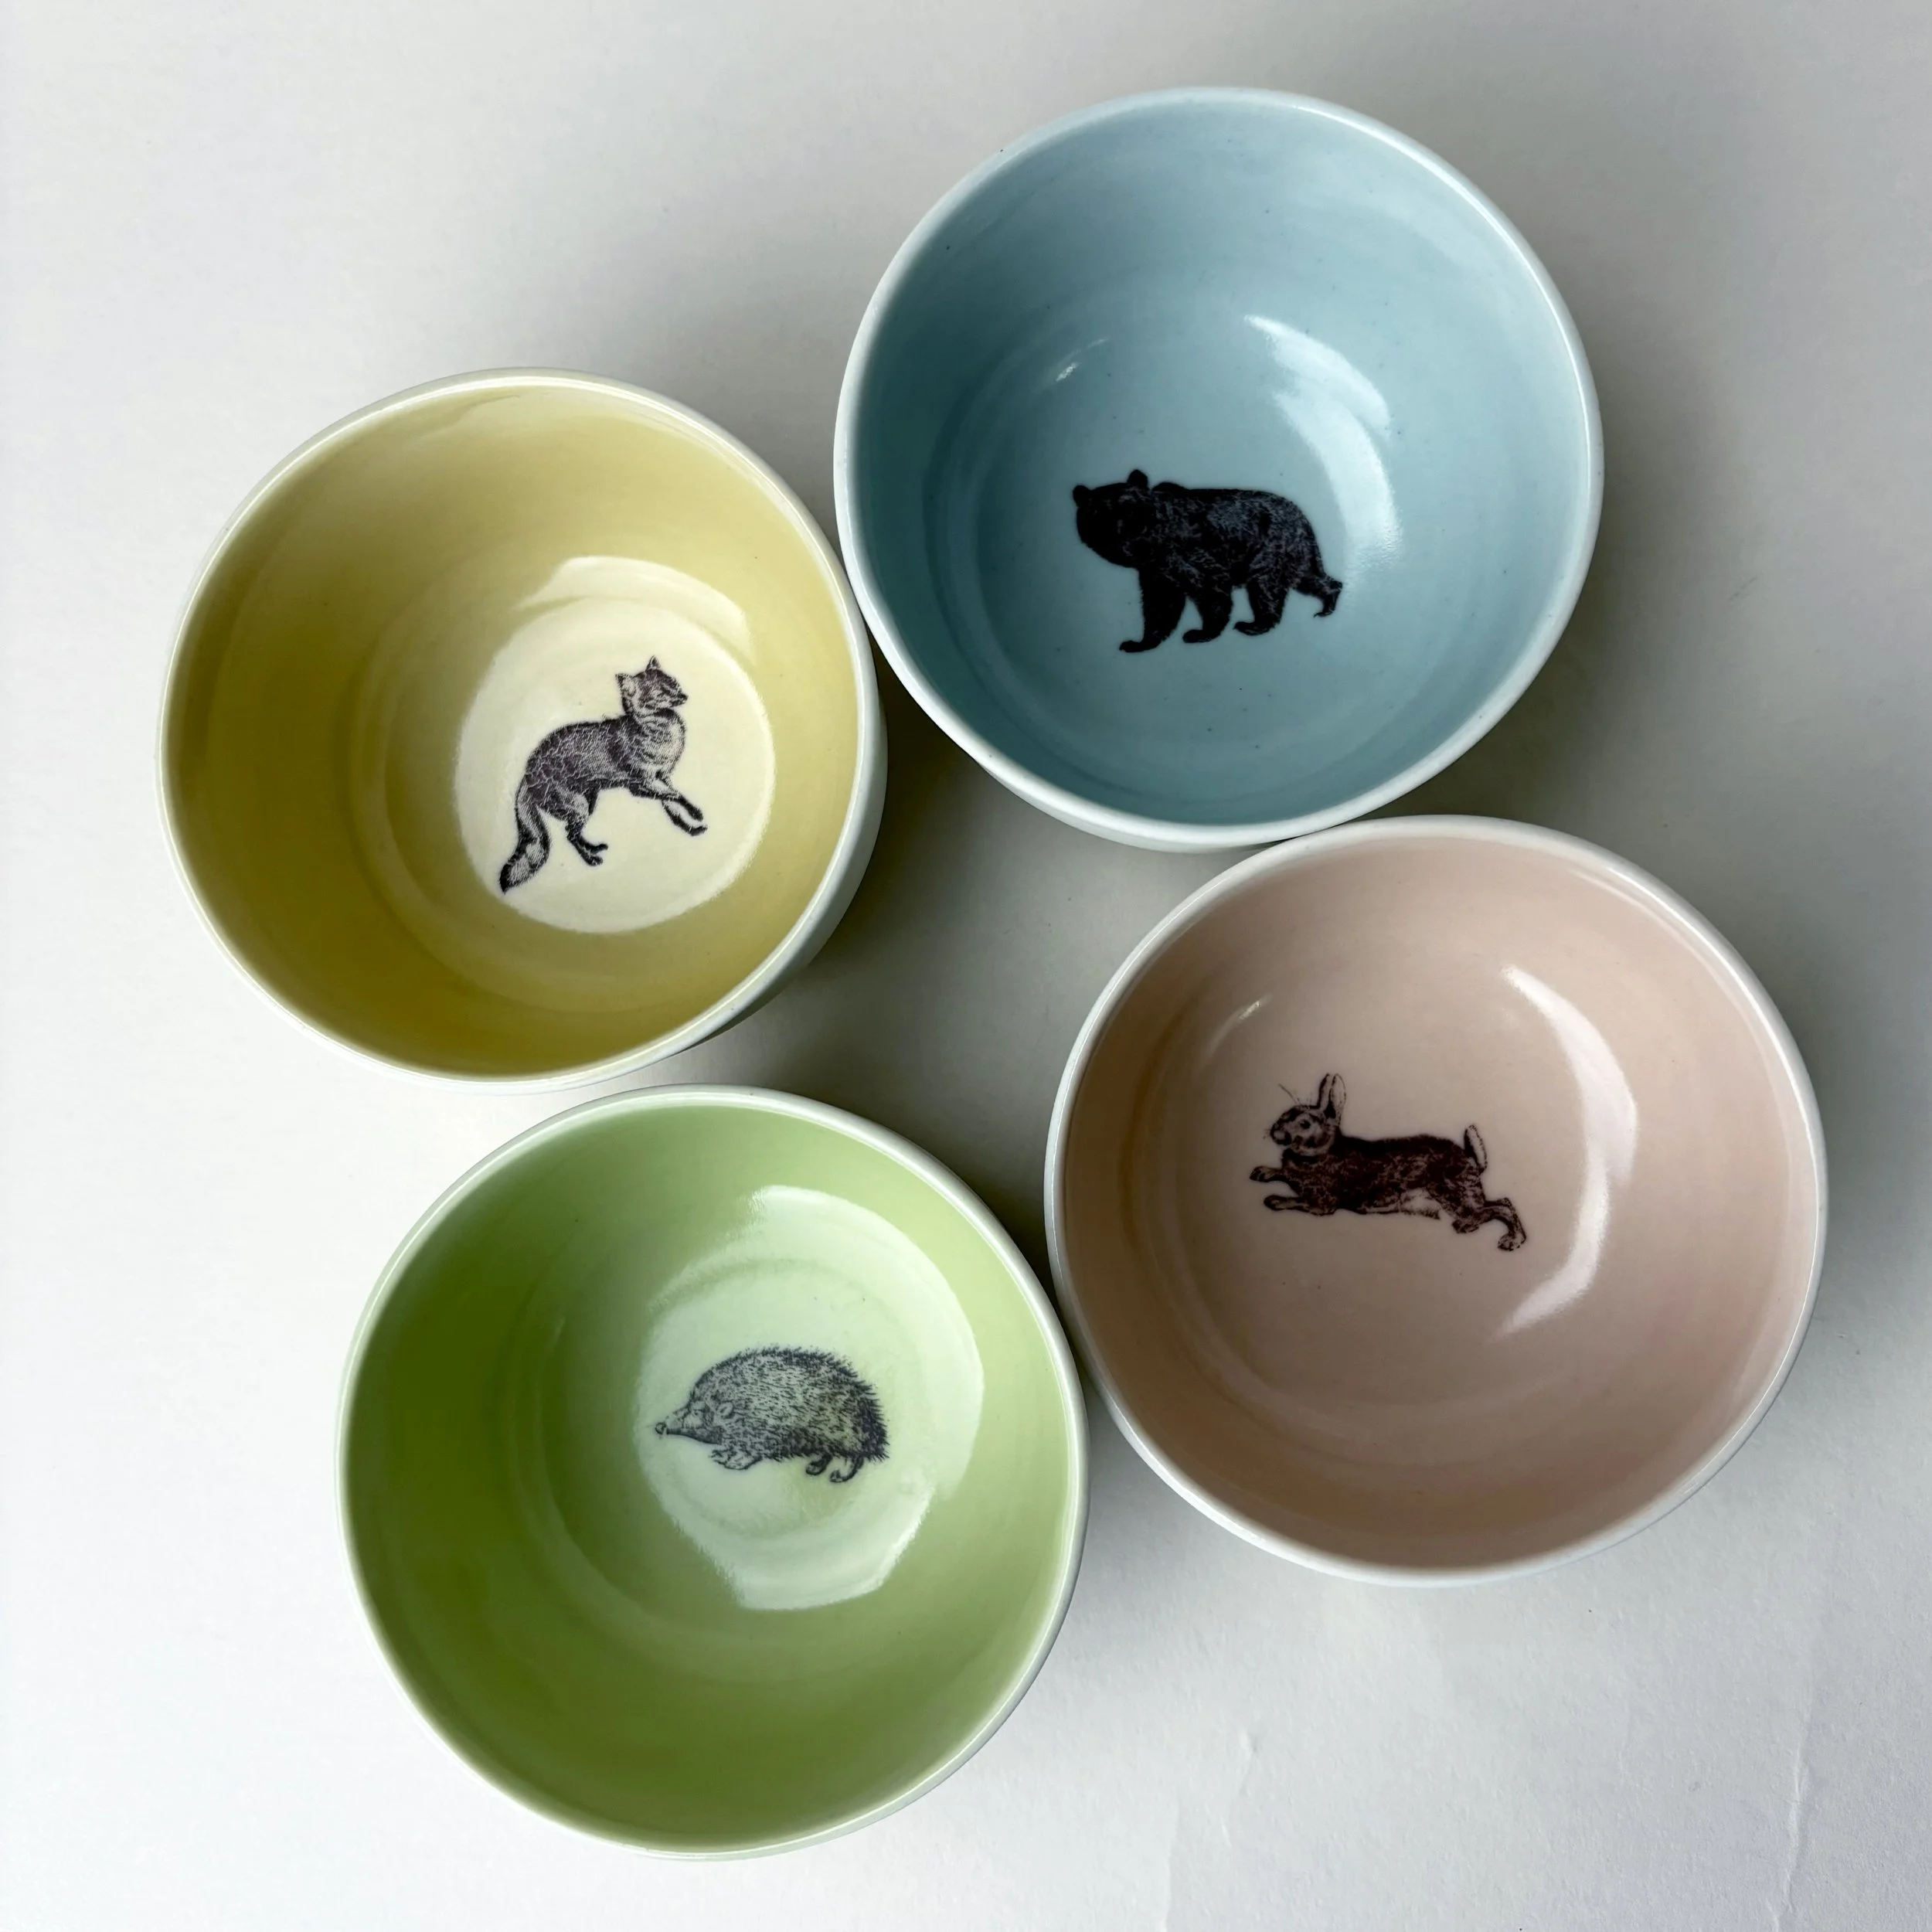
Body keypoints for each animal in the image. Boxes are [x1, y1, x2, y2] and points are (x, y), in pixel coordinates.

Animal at [1072, 470, 1342, 653]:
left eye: (1132, 514)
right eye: (1100, 520)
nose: (1127, 546)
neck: (1155, 548)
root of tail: (1301, 514)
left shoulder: (1190, 553)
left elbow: (1210, 589)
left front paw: (1200, 633)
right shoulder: (1155, 571)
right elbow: (1160, 604)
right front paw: (1140, 642)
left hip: (1272, 549)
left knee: (1267, 588)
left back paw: (1256, 624)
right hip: (1293, 553)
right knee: (1306, 577)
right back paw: (1327, 600)